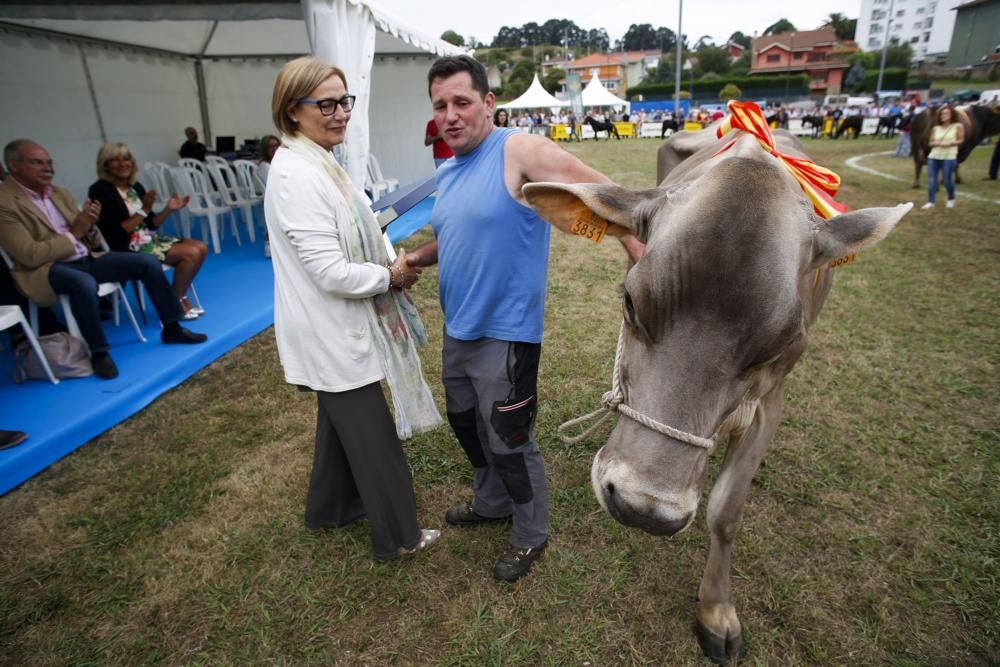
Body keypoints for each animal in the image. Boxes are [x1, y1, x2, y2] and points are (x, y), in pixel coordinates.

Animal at [528, 128, 912, 664]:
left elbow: (726, 512)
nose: (643, 509)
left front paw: (715, 611)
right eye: (630, 302)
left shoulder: (771, 399)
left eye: (779, 344)